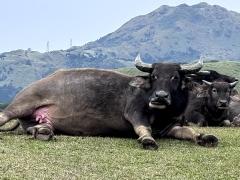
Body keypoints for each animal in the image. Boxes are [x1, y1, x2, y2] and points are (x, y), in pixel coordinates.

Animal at [0, 55, 218, 150]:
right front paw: (147, 140)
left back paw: (43, 132)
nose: (160, 96)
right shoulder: (134, 113)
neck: (161, 115)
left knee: (36, 127)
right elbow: (143, 128)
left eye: (175, 77)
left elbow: (189, 131)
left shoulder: (172, 126)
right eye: (154, 76)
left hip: (36, 120)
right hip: (23, 104)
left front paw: (205, 137)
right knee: (3, 115)